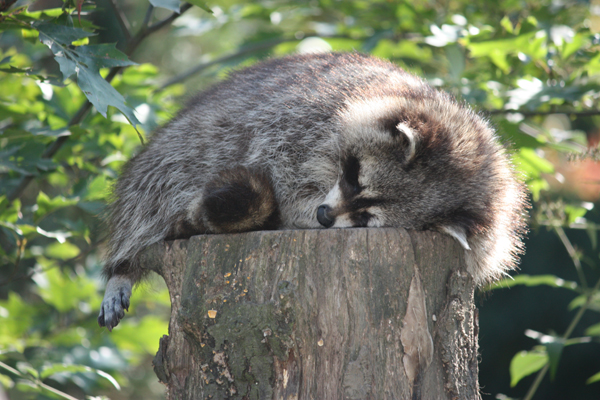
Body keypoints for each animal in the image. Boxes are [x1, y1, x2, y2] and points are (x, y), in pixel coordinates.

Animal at [98, 52, 528, 332]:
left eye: (366, 218)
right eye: (355, 178)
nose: (323, 216)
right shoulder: (298, 123)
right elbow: (284, 182)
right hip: (184, 144)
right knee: (156, 191)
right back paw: (124, 265)